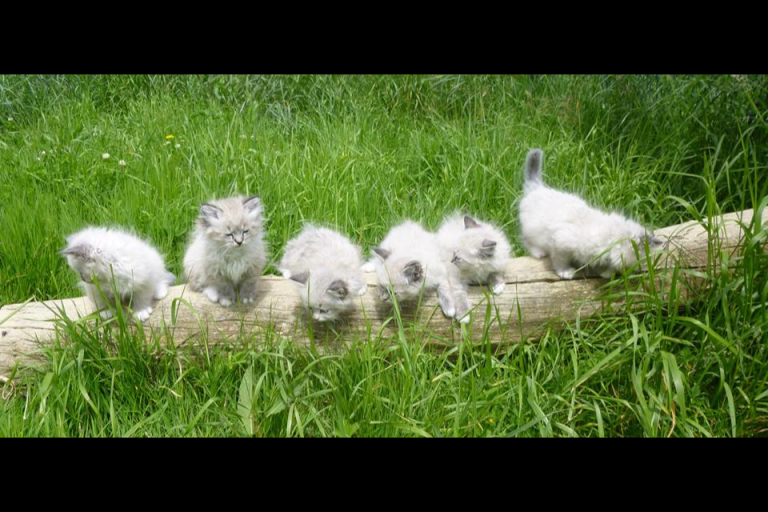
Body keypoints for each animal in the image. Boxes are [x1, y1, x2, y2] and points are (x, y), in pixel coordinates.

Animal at [520, 148, 664, 280]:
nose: (637, 269)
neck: (613, 238)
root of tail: (537, 188)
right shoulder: (560, 243)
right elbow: (560, 260)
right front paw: (566, 272)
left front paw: (606, 273)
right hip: (531, 230)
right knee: (527, 241)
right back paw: (539, 253)